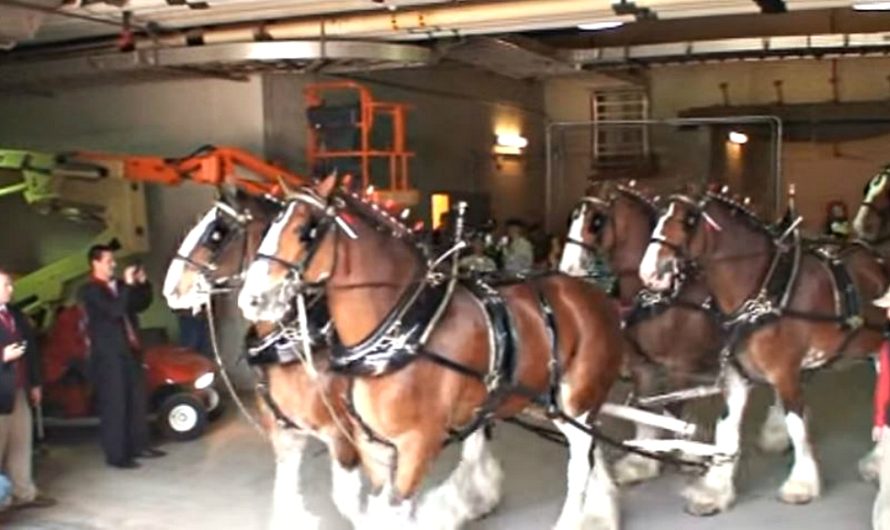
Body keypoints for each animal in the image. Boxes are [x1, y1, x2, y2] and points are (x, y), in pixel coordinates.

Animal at [236, 174, 620, 528]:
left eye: (306, 230)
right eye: (269, 227)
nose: (251, 299)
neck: (403, 332)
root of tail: (592, 293)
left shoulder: (415, 445)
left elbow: (395, 512)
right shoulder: (370, 445)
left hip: (575, 403)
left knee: (579, 462)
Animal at [640, 189, 880, 512]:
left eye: (690, 220)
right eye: (659, 215)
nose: (649, 273)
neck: (764, 293)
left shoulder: (784, 372)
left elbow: (797, 424)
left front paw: (801, 485)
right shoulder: (738, 374)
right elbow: (727, 427)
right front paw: (714, 491)